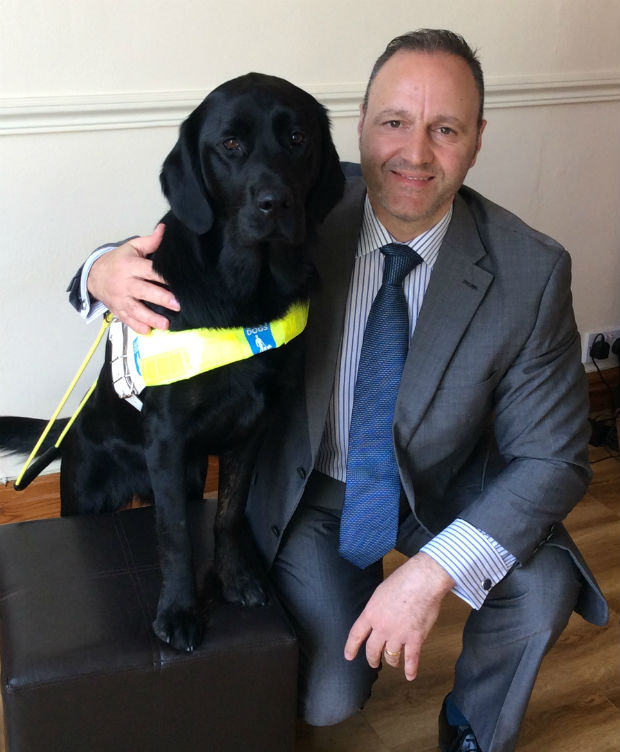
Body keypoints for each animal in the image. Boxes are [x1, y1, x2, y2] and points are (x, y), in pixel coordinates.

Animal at [0, 73, 344, 656]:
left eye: (298, 139)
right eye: (230, 144)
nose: (274, 203)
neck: (244, 294)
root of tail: (75, 425)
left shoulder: (253, 427)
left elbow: (228, 513)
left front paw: (233, 578)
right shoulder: (167, 436)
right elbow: (176, 536)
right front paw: (179, 611)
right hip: (87, 491)